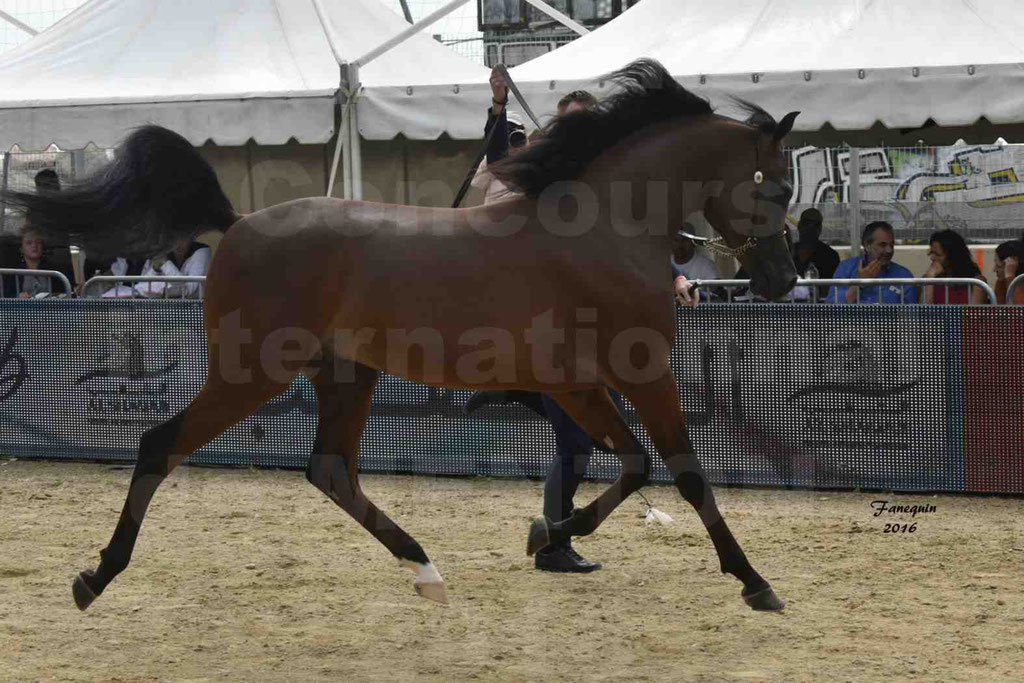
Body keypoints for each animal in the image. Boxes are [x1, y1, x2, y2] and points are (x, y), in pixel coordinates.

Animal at [12, 58, 802, 614]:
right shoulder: (636, 373)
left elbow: (634, 464)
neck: (602, 229)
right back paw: (95, 576)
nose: (782, 278)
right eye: (778, 186)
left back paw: (426, 570)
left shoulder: (580, 384)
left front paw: (552, 534)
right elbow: (685, 470)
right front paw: (755, 581)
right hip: (251, 374)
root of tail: (234, 226)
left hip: (344, 374)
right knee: (159, 446)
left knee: (330, 470)